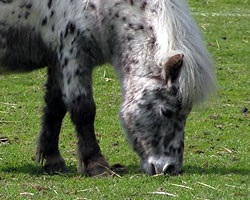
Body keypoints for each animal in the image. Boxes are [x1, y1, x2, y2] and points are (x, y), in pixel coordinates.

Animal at [0, 0, 215, 175]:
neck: (100, 7)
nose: (170, 168)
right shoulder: (72, 53)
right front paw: (96, 164)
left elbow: (55, 108)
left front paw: (52, 160)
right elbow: (83, 110)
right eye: (166, 111)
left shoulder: (57, 59)